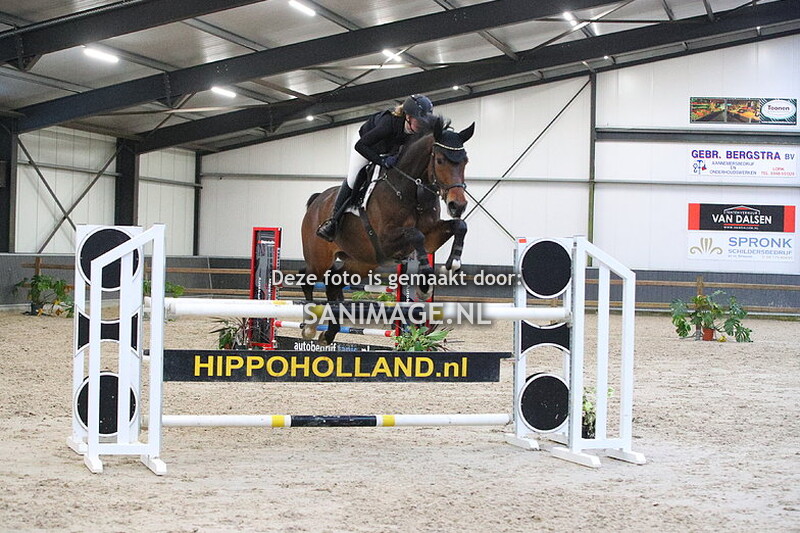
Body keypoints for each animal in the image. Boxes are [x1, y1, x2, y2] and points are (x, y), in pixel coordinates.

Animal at [300, 116, 475, 344]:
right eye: (440, 161)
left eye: (465, 161)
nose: (458, 206)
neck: (412, 189)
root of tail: (317, 200)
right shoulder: (386, 240)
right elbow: (416, 235)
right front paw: (425, 286)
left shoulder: (431, 236)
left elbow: (459, 226)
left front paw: (452, 264)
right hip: (319, 259)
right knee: (307, 279)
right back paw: (309, 327)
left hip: (361, 262)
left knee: (332, 283)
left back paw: (329, 333)